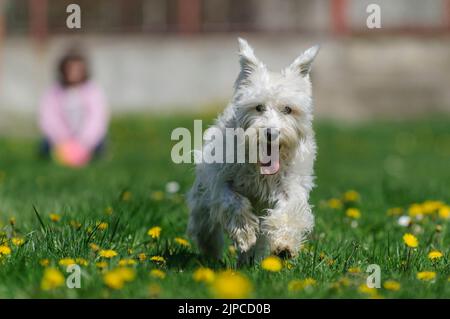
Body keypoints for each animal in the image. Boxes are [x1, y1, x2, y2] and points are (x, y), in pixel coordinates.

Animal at [187, 38, 320, 264]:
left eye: (288, 109)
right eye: (258, 107)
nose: (271, 133)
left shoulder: (290, 187)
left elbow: (288, 212)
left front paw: (284, 246)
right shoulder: (222, 181)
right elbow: (234, 202)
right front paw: (245, 233)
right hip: (202, 197)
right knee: (204, 222)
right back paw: (211, 250)